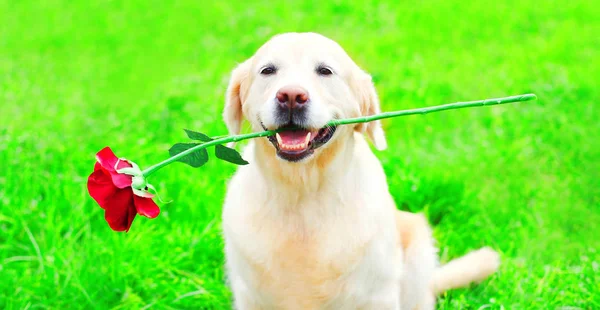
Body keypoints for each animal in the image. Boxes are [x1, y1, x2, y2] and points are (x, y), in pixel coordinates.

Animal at [223, 32, 500, 308]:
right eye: (267, 70)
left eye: (325, 71)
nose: (291, 96)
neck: (303, 193)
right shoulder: (250, 296)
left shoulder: (378, 294)